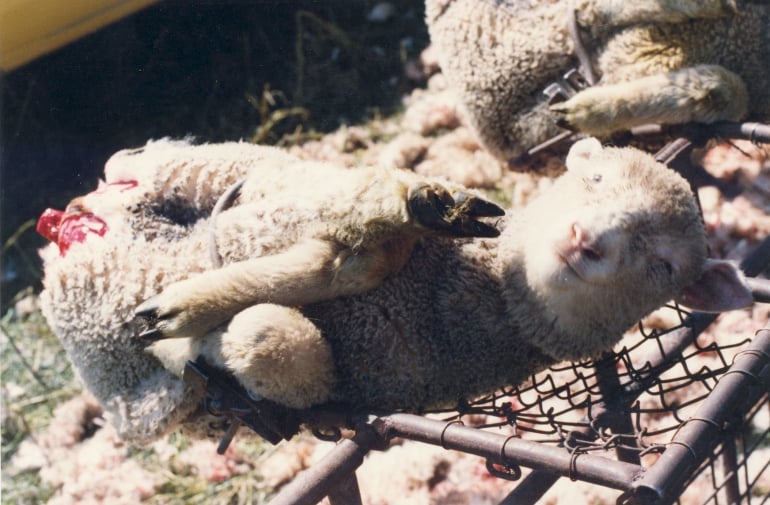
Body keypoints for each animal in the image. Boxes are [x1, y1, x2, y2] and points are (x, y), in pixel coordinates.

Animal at [37, 137, 752, 440]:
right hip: (220, 161)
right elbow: (350, 231)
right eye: (595, 180)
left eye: (664, 265)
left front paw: (185, 327)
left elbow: (269, 333)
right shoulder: (321, 204)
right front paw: (418, 208)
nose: (585, 240)